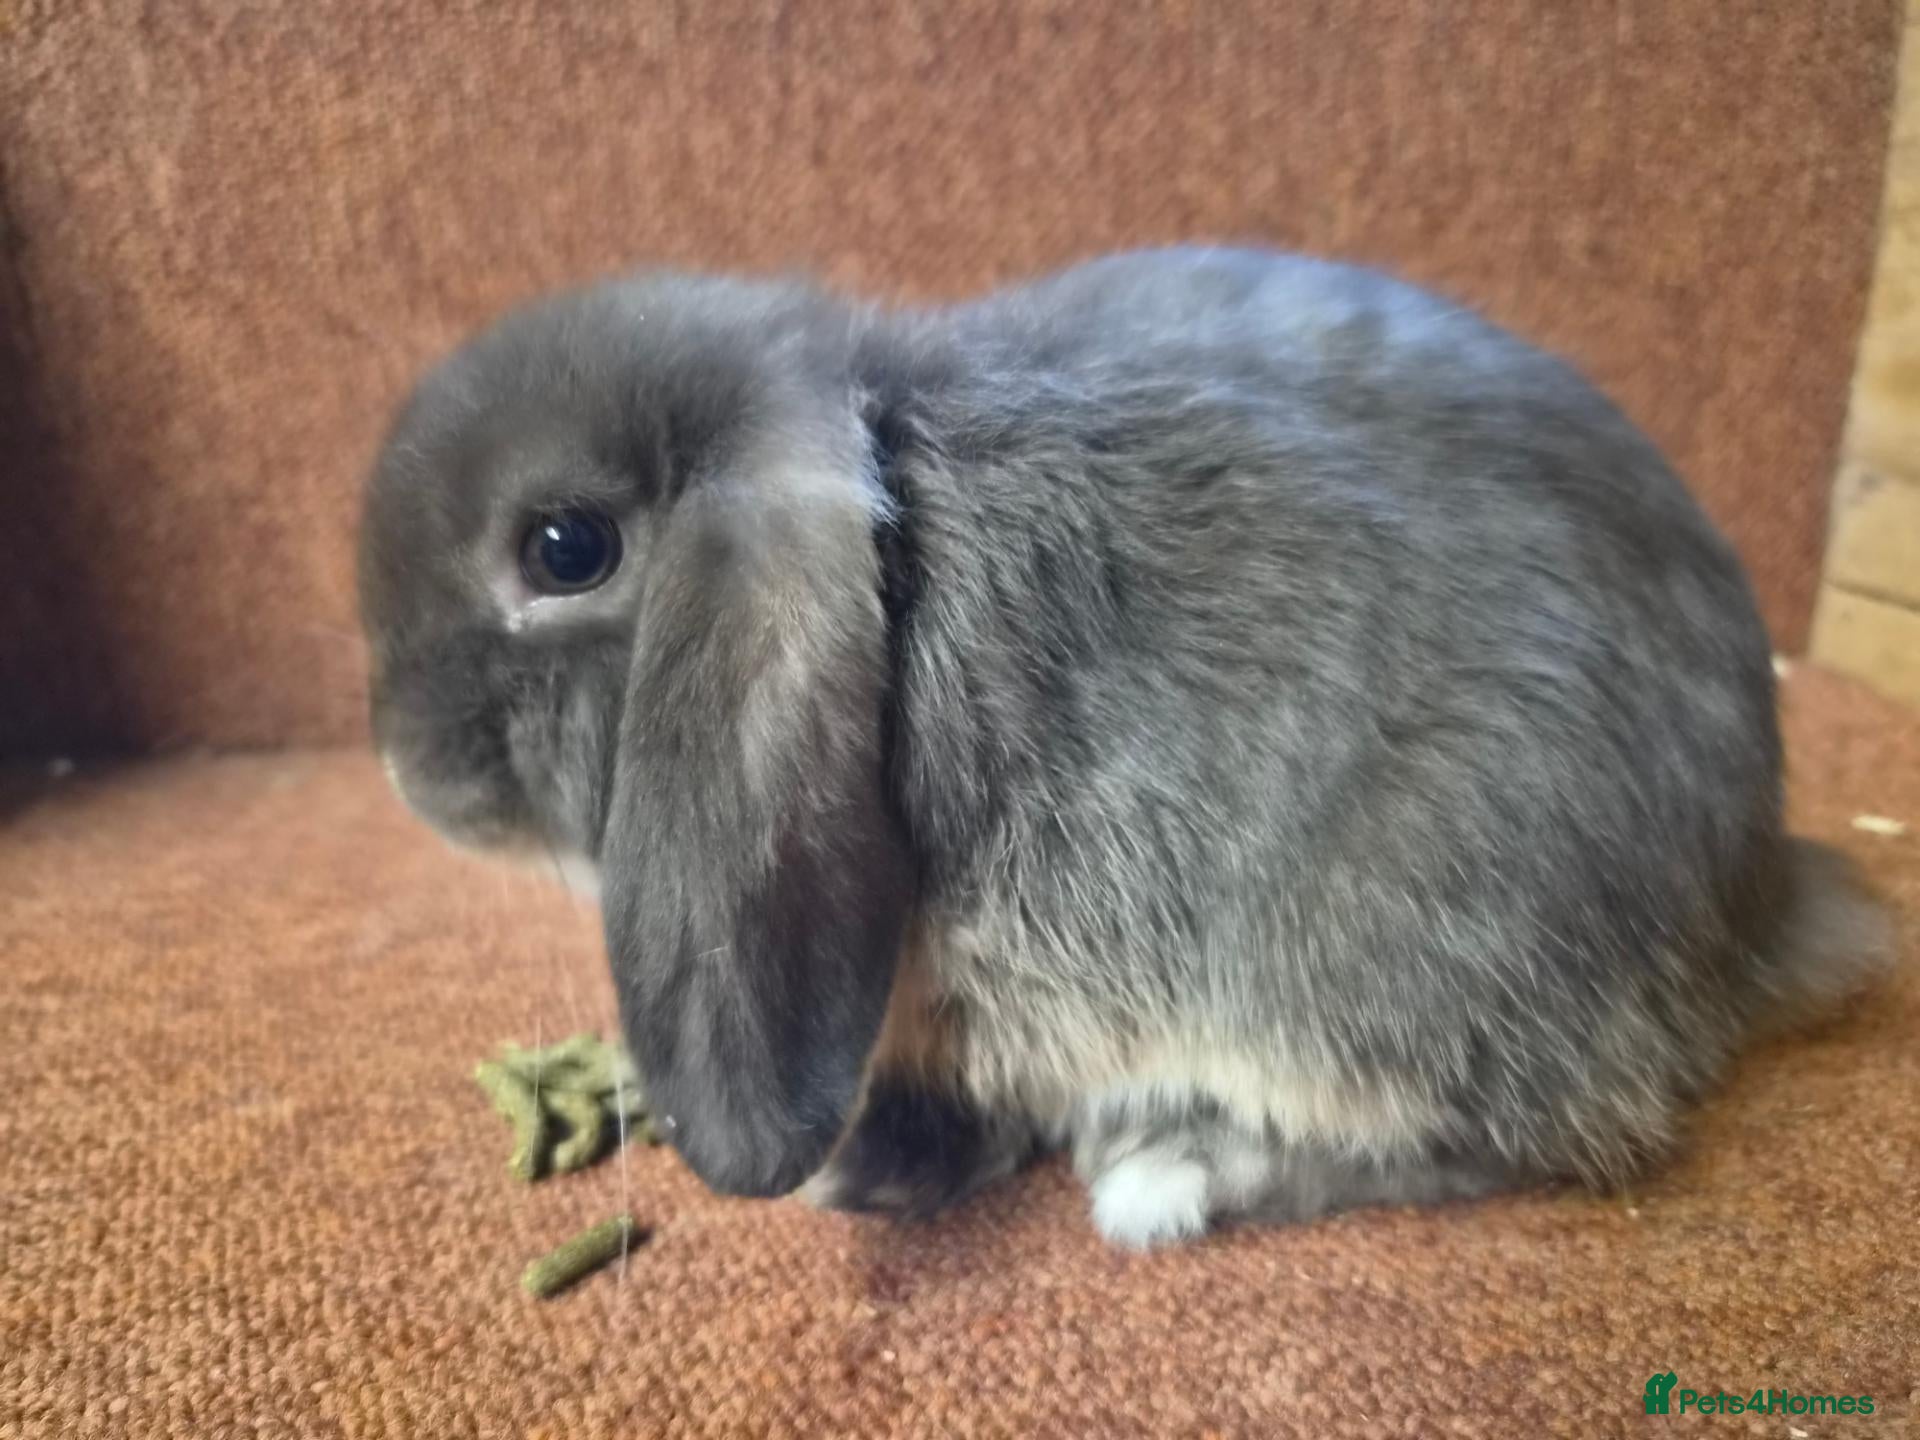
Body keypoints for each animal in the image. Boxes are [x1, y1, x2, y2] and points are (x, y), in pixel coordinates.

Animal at [359, 246, 1893, 1247]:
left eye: (566, 549)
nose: (403, 769)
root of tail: (1757, 905)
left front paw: (864, 1173)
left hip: (1399, 950)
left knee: (1522, 1136)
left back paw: (1181, 1166)